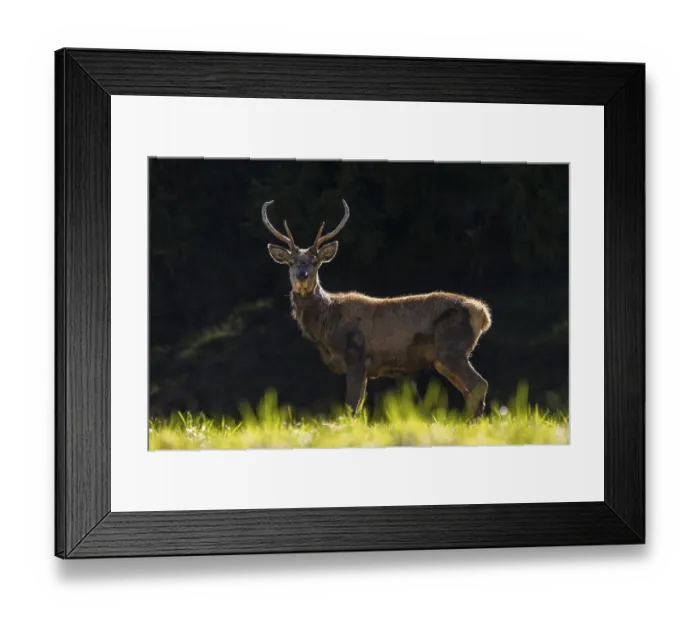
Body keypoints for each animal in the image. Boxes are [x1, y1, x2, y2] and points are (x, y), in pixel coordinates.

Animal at [263, 199, 492, 417]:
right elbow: (357, 407)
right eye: (291, 262)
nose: (302, 276)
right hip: (443, 358)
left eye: (315, 262)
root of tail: (483, 314)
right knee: (469, 391)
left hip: (451, 347)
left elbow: (351, 407)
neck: (327, 326)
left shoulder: (356, 356)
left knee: (479, 384)